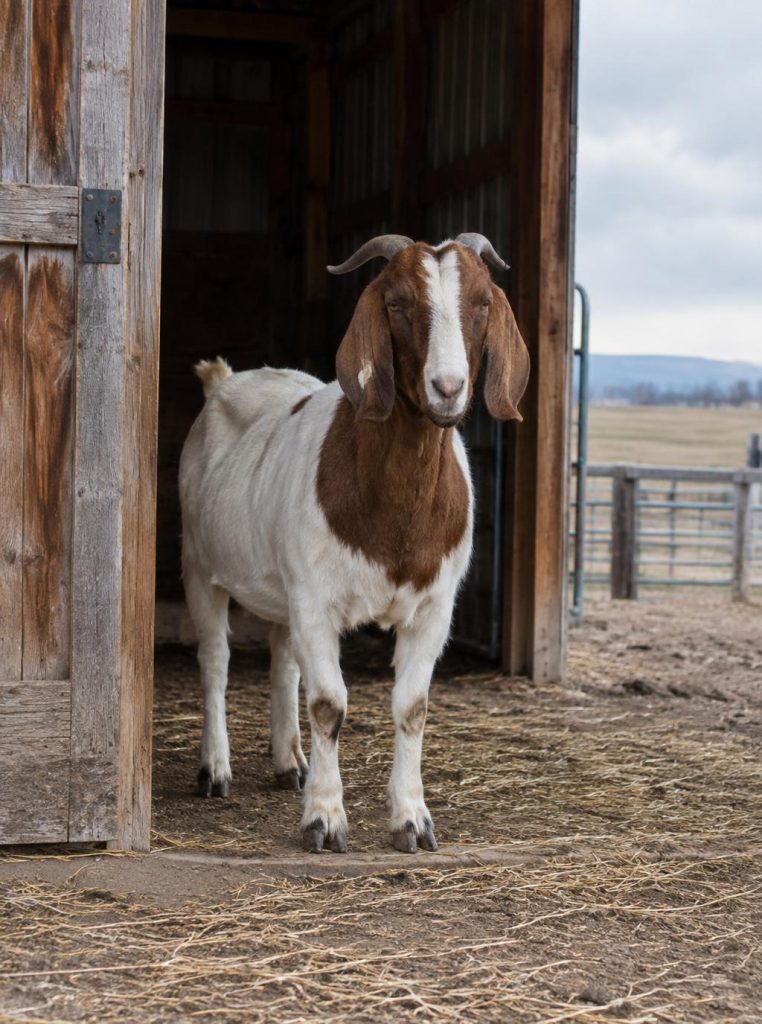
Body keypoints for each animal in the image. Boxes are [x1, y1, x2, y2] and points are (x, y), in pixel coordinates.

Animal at [179, 233, 529, 854]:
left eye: (484, 302)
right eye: (396, 302)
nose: (448, 388)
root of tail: (224, 380)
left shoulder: (433, 608)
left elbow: (411, 707)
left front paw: (412, 819)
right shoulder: (315, 600)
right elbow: (329, 705)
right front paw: (324, 819)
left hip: (281, 589)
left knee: (282, 660)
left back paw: (288, 762)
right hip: (200, 564)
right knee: (215, 660)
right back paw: (215, 769)